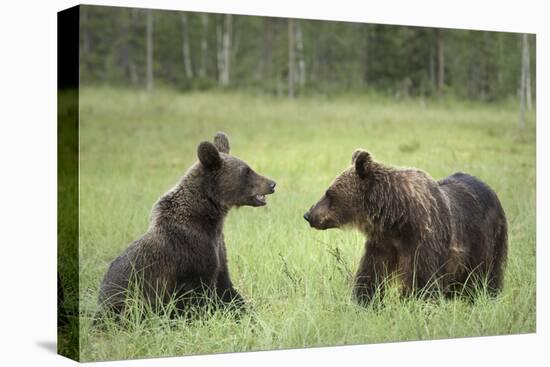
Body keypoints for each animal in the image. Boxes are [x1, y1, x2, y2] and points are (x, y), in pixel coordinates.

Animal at [97, 133, 278, 320]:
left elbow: (225, 286)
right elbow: (198, 295)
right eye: (246, 171)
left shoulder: (218, 248)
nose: (272, 183)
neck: (208, 219)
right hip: (124, 302)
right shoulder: (190, 253)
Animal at [306, 150, 508, 304]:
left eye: (329, 193)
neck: (396, 218)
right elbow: (371, 274)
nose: (308, 215)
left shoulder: (424, 239)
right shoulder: (382, 243)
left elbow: (422, 280)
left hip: (485, 239)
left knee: (487, 275)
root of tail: (491, 190)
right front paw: (365, 301)